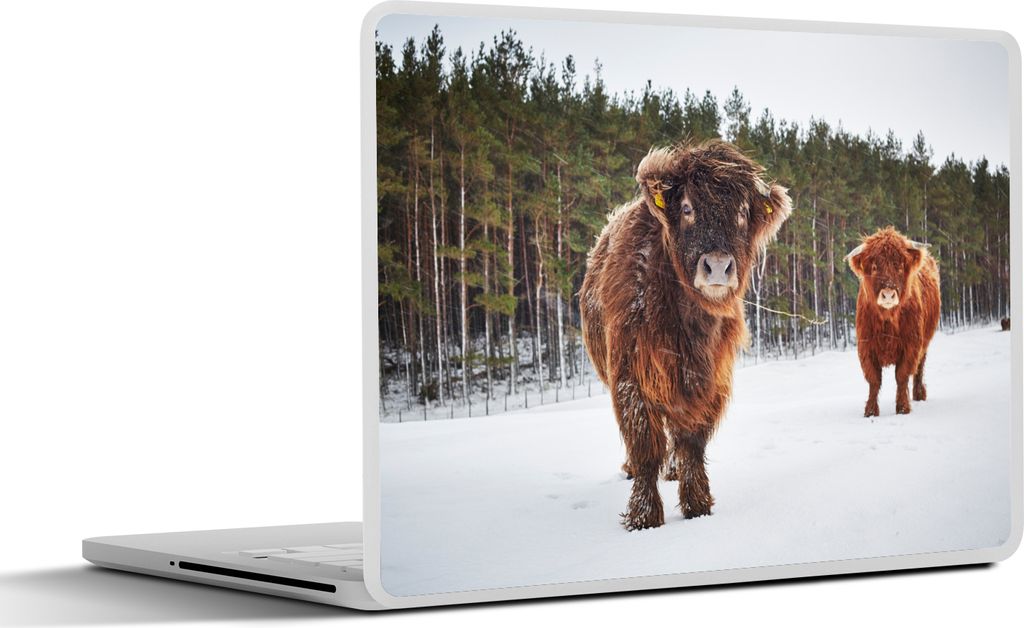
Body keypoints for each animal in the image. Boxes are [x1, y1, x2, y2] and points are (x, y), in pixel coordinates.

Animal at [580, 140, 792, 531]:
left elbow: (692, 442)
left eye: (743, 212)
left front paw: (697, 505)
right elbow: (644, 443)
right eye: (687, 208)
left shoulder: (708, 380)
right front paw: (644, 516)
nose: (718, 266)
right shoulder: (630, 377)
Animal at [845, 227, 941, 417]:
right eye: (874, 267)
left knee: (919, 367)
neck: (888, 319)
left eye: (900, 266)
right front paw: (870, 411)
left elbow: (902, 376)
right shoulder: (866, 346)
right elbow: (874, 380)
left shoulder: (911, 344)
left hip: (924, 342)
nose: (888, 295)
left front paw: (903, 408)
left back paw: (919, 394)